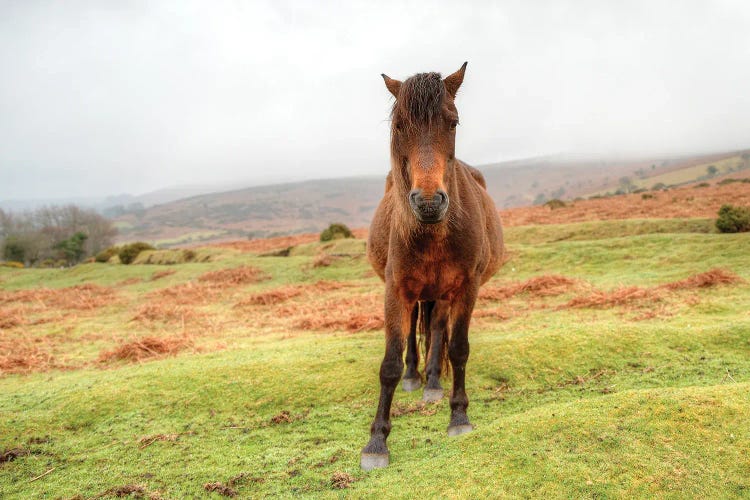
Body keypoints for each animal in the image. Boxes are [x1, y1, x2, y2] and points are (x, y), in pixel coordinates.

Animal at [362, 61, 508, 468]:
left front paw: (458, 416)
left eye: (453, 122)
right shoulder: (395, 290)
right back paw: (416, 376)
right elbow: (390, 364)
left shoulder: (466, 288)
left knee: (438, 331)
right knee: (415, 328)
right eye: (399, 126)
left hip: (442, 294)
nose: (428, 203)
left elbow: (457, 348)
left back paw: (431, 382)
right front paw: (376, 442)